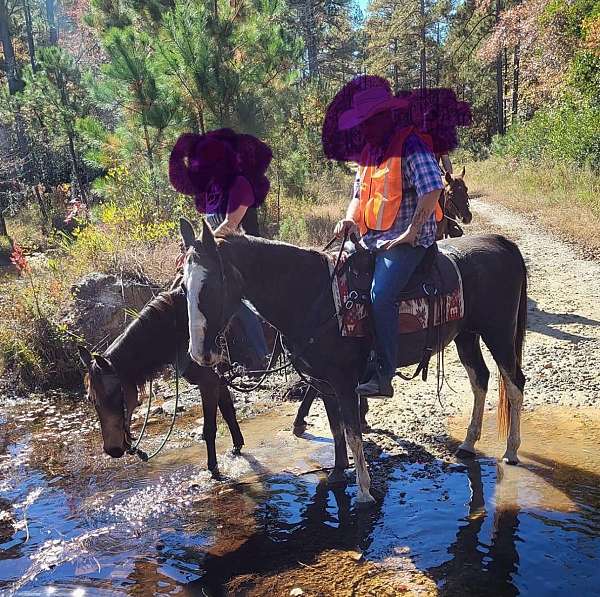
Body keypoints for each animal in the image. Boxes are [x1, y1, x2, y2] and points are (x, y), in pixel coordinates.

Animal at [77, 282, 244, 474]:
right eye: (90, 399)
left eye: (113, 395)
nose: (112, 449)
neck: (178, 329)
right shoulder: (218, 380)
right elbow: (228, 412)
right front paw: (236, 448)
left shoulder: (208, 383)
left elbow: (209, 429)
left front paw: (213, 470)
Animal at [180, 219, 528, 502]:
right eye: (184, 287)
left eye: (210, 286)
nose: (199, 354)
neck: (313, 297)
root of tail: (501, 242)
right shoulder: (323, 383)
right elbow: (336, 429)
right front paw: (336, 474)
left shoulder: (344, 382)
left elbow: (352, 432)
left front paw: (363, 491)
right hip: (466, 335)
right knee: (480, 379)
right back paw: (468, 444)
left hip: (498, 332)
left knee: (514, 383)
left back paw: (511, 450)